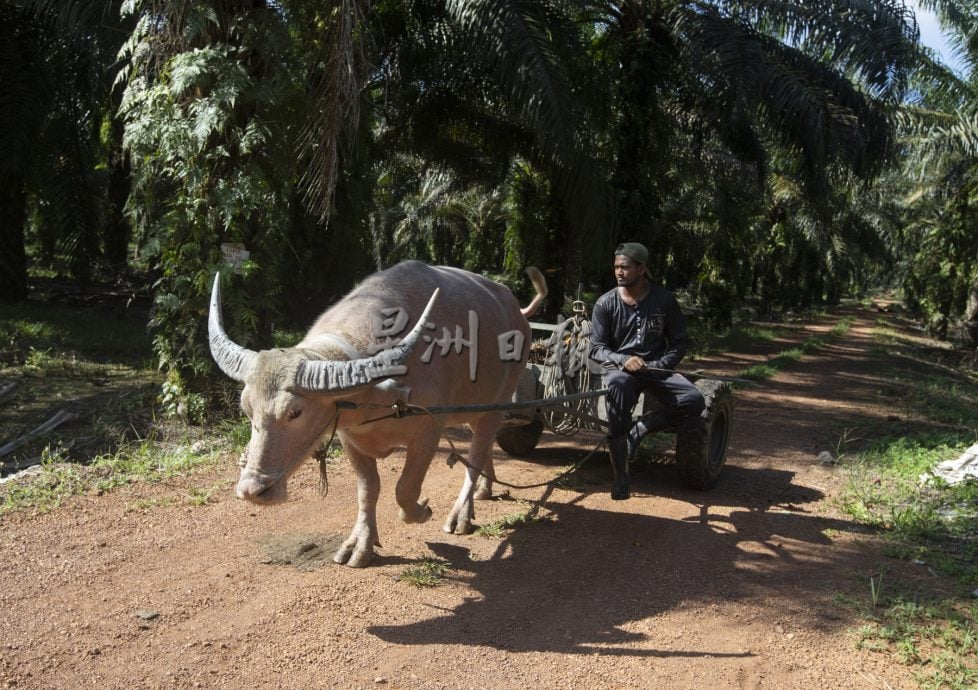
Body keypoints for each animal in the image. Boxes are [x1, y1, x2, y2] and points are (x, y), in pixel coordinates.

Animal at [209, 258, 544, 564]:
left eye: (295, 412)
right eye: (247, 409)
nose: (252, 489)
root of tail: (518, 313)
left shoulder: (428, 431)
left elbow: (405, 489)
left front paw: (422, 511)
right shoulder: (349, 437)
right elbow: (368, 490)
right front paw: (360, 545)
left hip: (500, 399)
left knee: (475, 452)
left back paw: (461, 513)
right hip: (477, 408)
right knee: (482, 444)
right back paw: (485, 489)